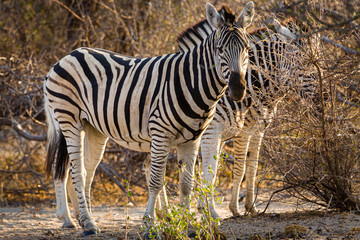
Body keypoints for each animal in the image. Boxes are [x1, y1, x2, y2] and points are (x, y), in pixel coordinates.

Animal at [43, 1, 255, 234]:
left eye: (247, 49)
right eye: (220, 49)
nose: (238, 89)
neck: (190, 81)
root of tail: (68, 55)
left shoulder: (192, 140)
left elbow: (186, 184)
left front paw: (190, 226)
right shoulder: (161, 134)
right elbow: (156, 180)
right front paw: (149, 224)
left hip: (93, 128)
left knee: (87, 170)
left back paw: (86, 219)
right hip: (69, 120)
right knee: (77, 172)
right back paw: (87, 224)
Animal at [197, 17, 318, 218]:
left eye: (320, 62)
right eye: (302, 63)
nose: (323, 98)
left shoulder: (258, 129)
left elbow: (252, 167)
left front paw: (250, 207)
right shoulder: (236, 131)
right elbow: (237, 168)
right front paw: (232, 209)